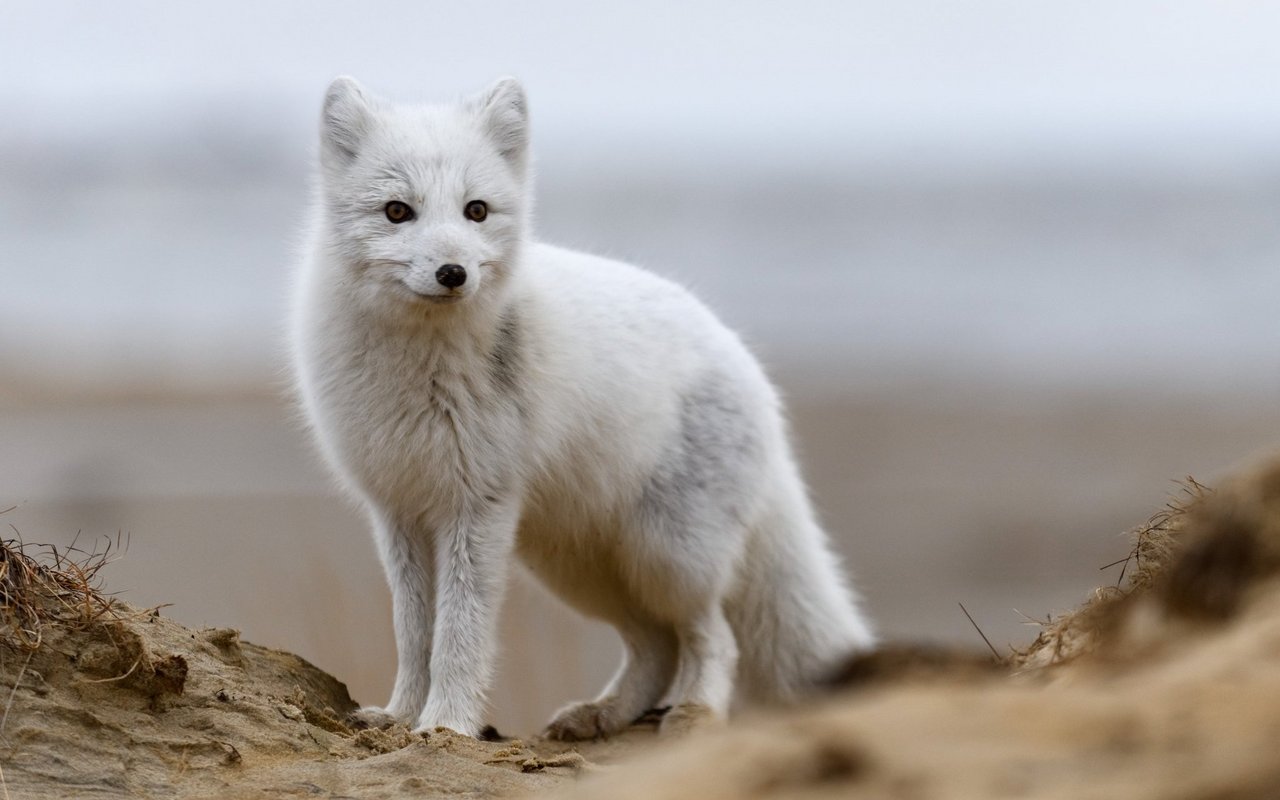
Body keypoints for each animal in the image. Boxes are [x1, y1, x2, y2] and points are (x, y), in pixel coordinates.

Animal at [291, 74, 875, 737]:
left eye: (476, 210)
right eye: (397, 211)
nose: (453, 272)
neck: (415, 366)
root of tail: (753, 374)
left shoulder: (477, 505)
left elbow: (460, 634)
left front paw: (446, 725)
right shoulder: (398, 511)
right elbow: (414, 633)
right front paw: (400, 715)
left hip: (667, 558)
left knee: (713, 636)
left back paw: (696, 711)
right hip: (576, 566)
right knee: (654, 645)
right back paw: (603, 714)